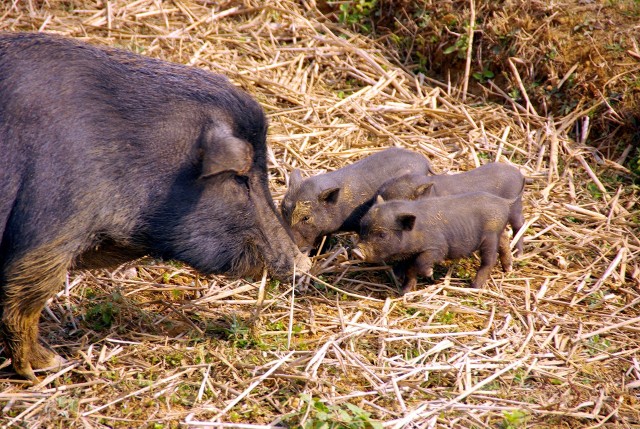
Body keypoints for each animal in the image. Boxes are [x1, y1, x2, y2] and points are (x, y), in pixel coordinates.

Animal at [356, 194, 516, 294]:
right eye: (362, 228)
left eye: (382, 234)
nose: (357, 251)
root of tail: (504, 202)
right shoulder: (410, 253)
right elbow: (410, 270)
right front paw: (404, 291)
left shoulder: (437, 248)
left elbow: (421, 262)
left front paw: (430, 274)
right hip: (499, 233)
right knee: (505, 242)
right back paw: (507, 269)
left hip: (490, 236)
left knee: (490, 259)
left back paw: (475, 286)